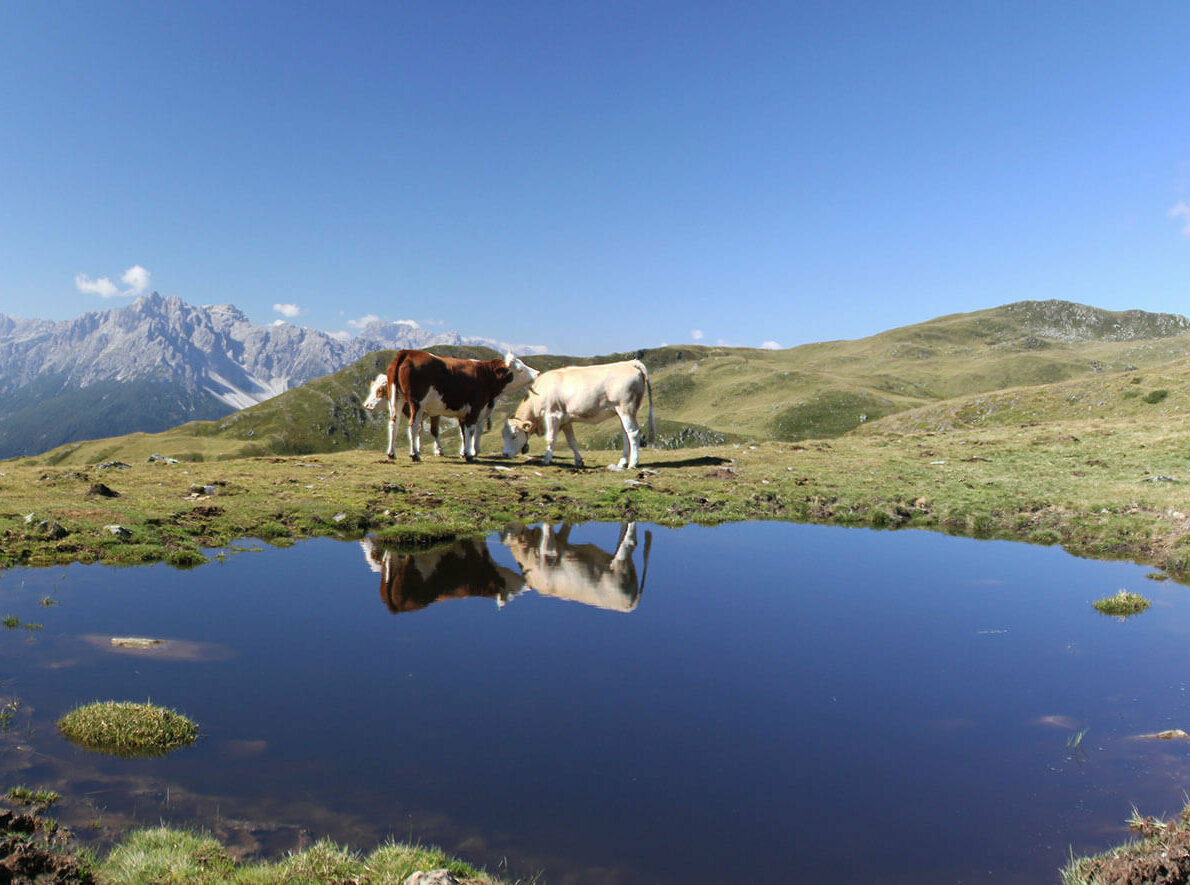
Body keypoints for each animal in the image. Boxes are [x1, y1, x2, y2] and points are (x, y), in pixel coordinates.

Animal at [363, 350, 538, 462]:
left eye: (379, 391)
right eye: (520, 369)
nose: (536, 373)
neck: (485, 375)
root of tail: (407, 353)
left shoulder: (461, 412)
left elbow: (462, 432)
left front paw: (463, 452)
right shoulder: (475, 408)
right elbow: (469, 430)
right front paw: (468, 454)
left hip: (397, 399)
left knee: (394, 423)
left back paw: (391, 453)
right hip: (417, 402)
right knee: (412, 425)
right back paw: (414, 455)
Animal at [499, 522, 651, 613]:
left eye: (509, 528)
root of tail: (630, 606)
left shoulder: (549, 552)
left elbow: (547, 532)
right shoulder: (561, 540)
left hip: (619, 569)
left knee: (629, 542)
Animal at [500, 359, 654, 469]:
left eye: (514, 436)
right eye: (504, 435)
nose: (504, 454)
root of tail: (630, 363)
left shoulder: (553, 415)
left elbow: (550, 438)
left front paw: (546, 460)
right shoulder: (566, 420)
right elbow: (572, 441)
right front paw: (579, 461)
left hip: (626, 409)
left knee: (633, 433)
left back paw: (632, 463)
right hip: (621, 412)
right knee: (625, 435)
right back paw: (622, 463)